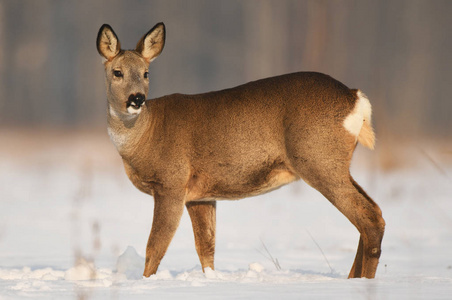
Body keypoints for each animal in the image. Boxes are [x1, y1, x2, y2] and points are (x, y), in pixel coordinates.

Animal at [96, 23, 384, 278]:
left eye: (146, 73)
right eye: (117, 72)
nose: (137, 99)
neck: (146, 136)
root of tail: (354, 97)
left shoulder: (171, 183)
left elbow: (155, 246)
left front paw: (146, 282)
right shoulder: (199, 195)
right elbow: (206, 248)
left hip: (319, 159)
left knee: (369, 217)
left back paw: (363, 282)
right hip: (335, 163)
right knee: (372, 213)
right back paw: (353, 279)